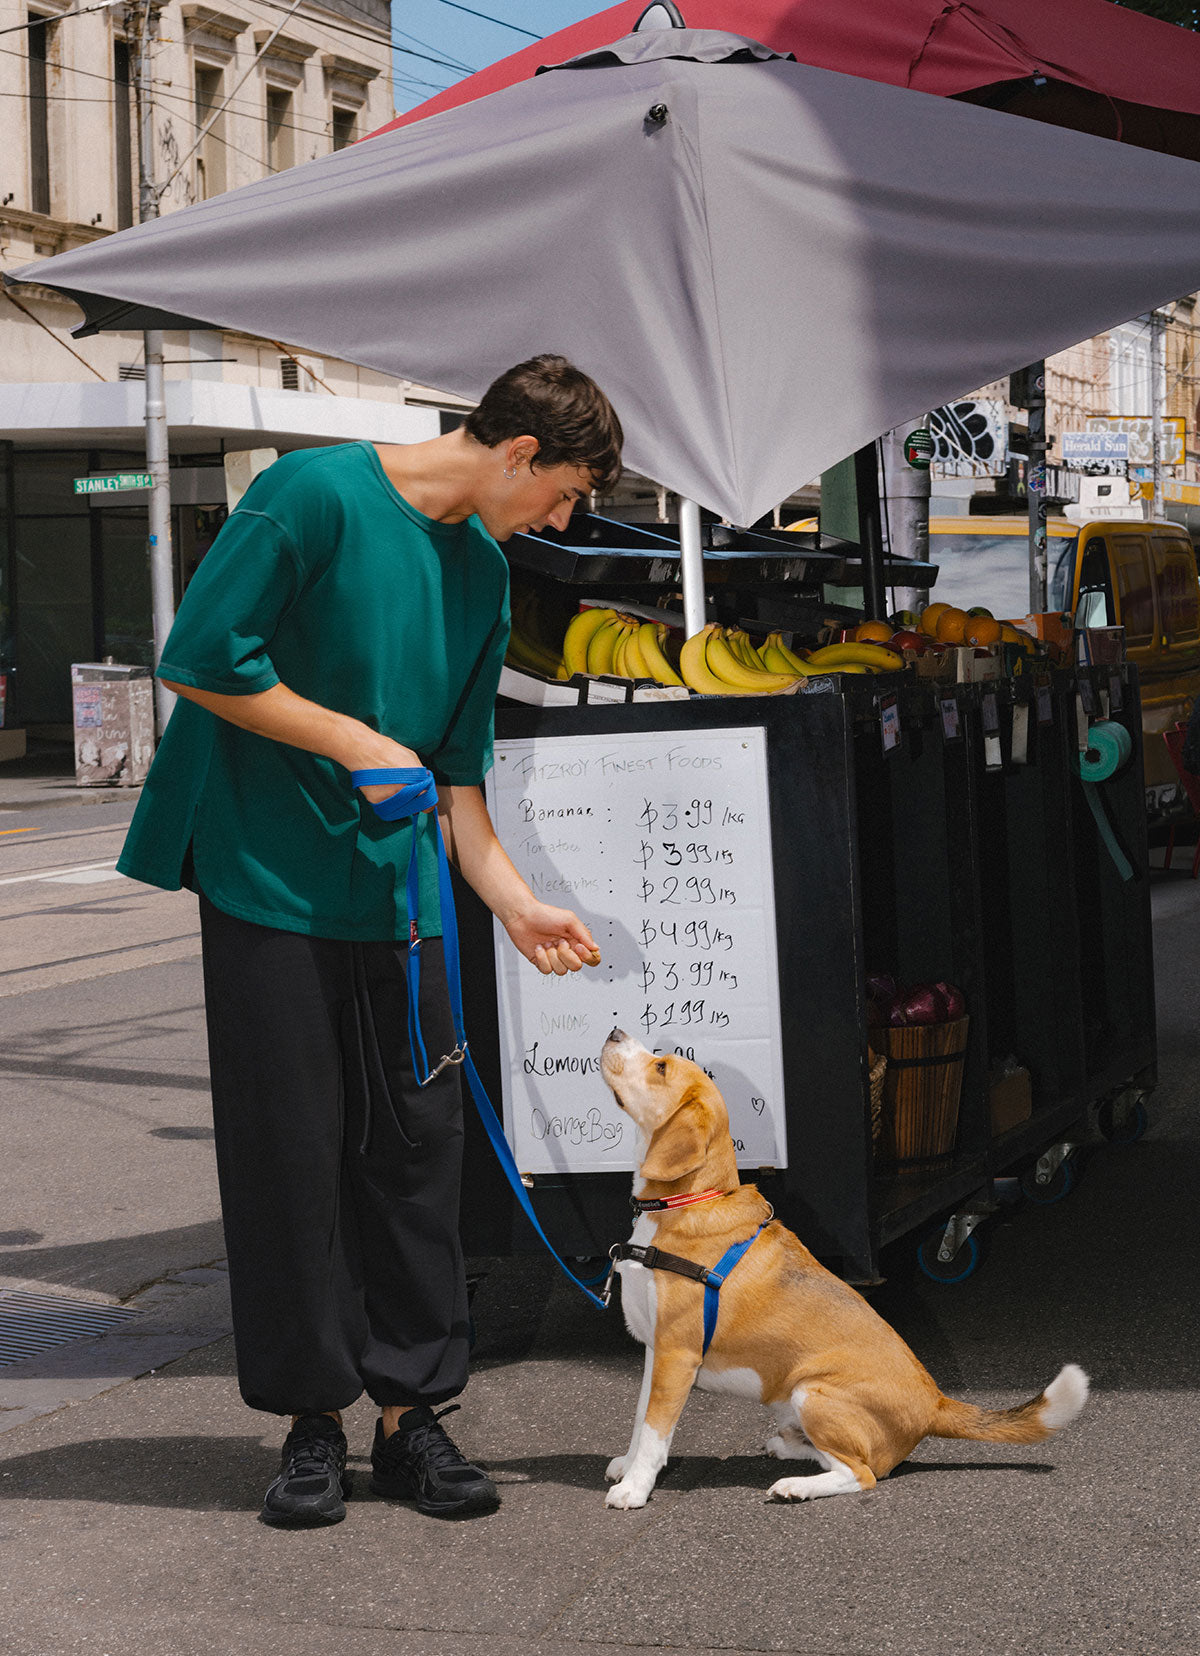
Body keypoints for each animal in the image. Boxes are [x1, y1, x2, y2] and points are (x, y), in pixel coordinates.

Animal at [599, 1033, 1085, 1516]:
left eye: (661, 1066)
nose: (615, 1033)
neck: (686, 1201)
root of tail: (934, 1402)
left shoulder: (677, 1354)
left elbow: (656, 1431)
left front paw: (636, 1488)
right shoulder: (656, 1351)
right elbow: (641, 1419)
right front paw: (629, 1465)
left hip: (812, 1392)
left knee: (862, 1473)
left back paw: (796, 1486)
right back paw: (787, 1448)